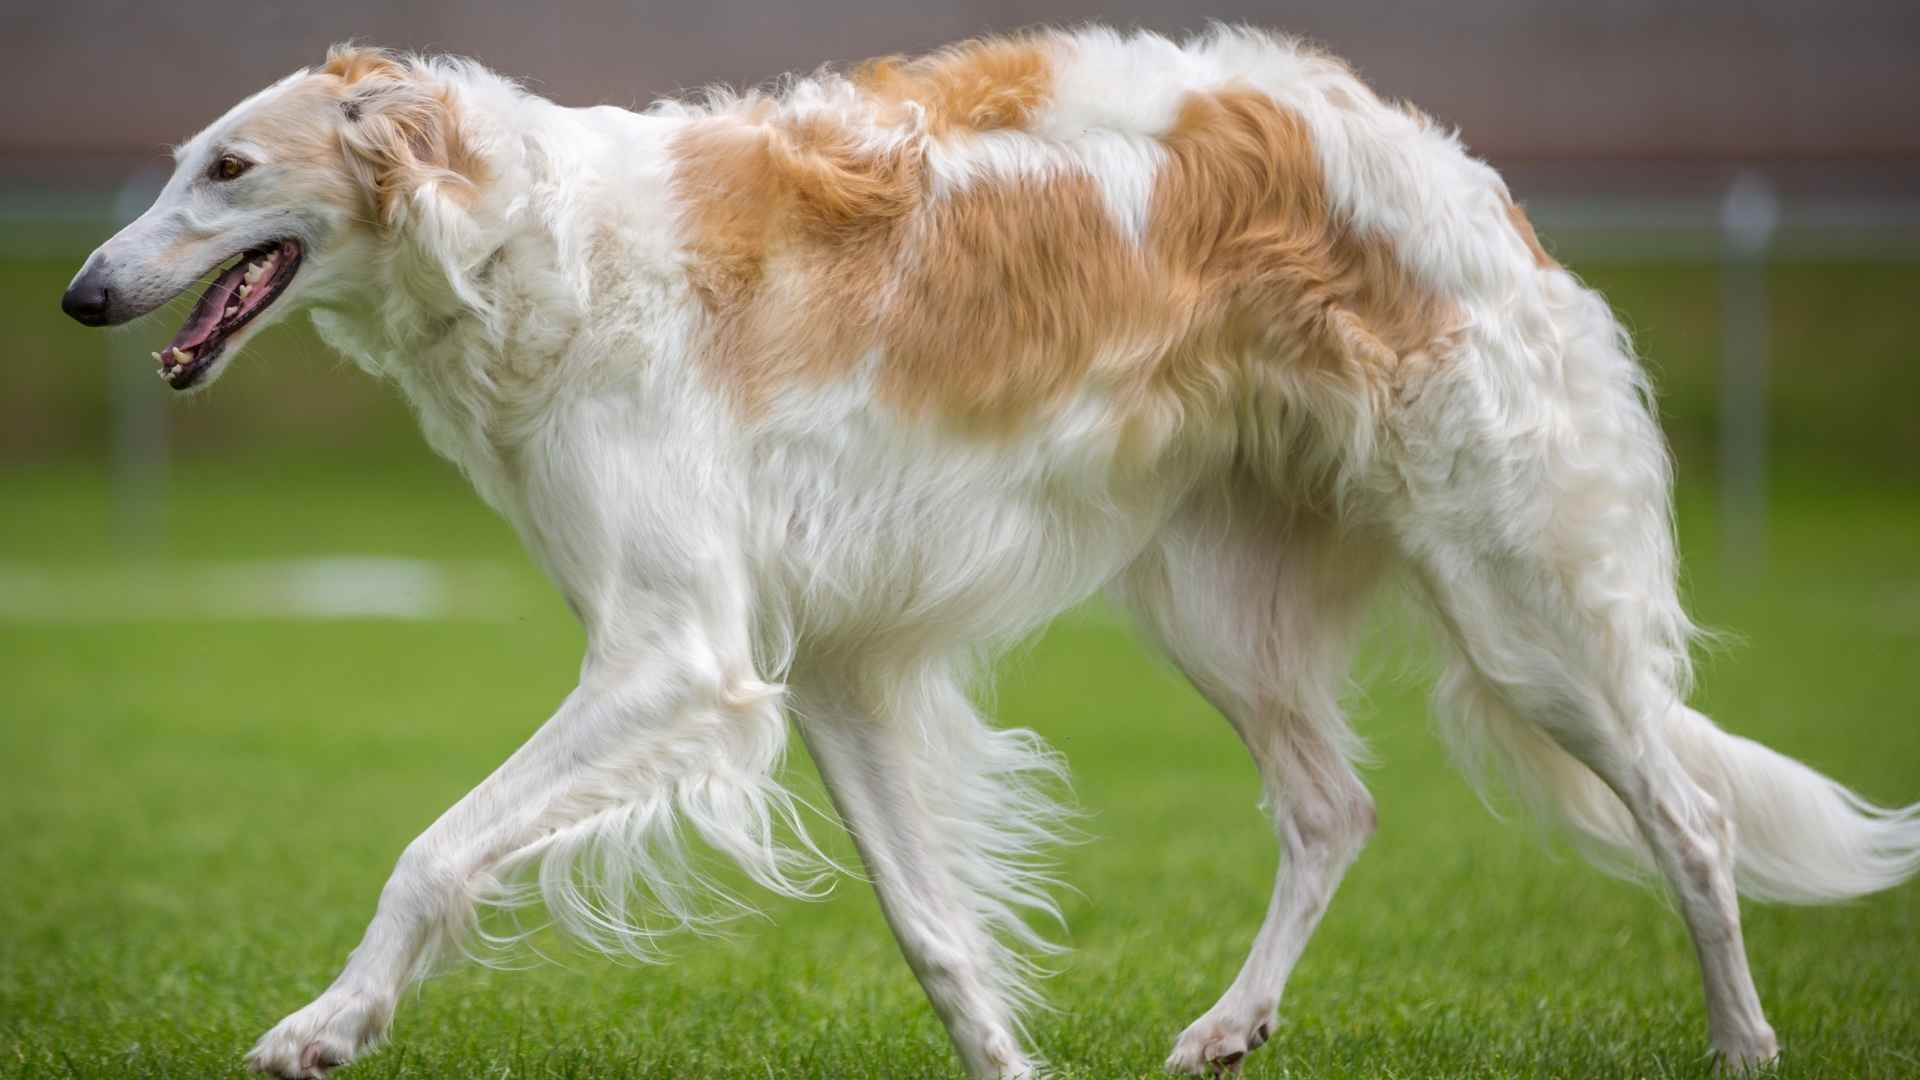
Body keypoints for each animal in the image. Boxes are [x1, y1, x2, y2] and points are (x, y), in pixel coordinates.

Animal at [63, 27, 1920, 1076]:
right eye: (178, 163)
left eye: (226, 165)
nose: (81, 292)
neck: (534, 238)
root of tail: (1455, 169)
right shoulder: (833, 668)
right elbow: (937, 931)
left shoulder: (677, 655)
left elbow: (430, 855)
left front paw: (323, 1026)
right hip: (1211, 600)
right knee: (1336, 806)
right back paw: (1230, 1025)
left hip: (1513, 599)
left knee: (1686, 817)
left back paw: (1744, 1045)